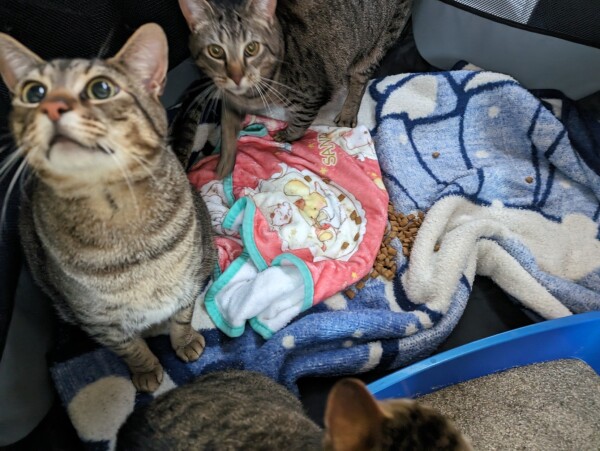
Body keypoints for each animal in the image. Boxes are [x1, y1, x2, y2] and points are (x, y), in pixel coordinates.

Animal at [0, 23, 216, 394]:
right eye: (34, 92)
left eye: (101, 88)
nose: (52, 106)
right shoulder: (99, 321)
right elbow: (130, 347)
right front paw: (146, 369)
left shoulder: (191, 276)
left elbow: (182, 316)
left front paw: (185, 340)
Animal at [178, 0, 412, 178]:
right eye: (215, 51)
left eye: (251, 48)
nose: (235, 76)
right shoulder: (230, 101)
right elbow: (227, 128)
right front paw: (224, 164)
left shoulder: (311, 98)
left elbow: (299, 123)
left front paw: (287, 136)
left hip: (377, 44)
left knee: (360, 79)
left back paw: (347, 112)